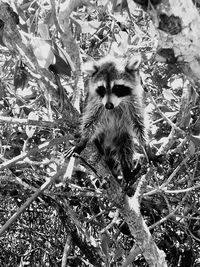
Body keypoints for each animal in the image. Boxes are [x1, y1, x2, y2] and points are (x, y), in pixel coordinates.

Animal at [74, 54, 148, 184]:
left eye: (117, 87)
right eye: (102, 88)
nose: (108, 106)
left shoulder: (134, 101)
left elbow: (138, 123)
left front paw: (147, 147)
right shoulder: (96, 102)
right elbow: (91, 121)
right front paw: (83, 141)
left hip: (120, 135)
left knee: (125, 146)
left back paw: (127, 172)